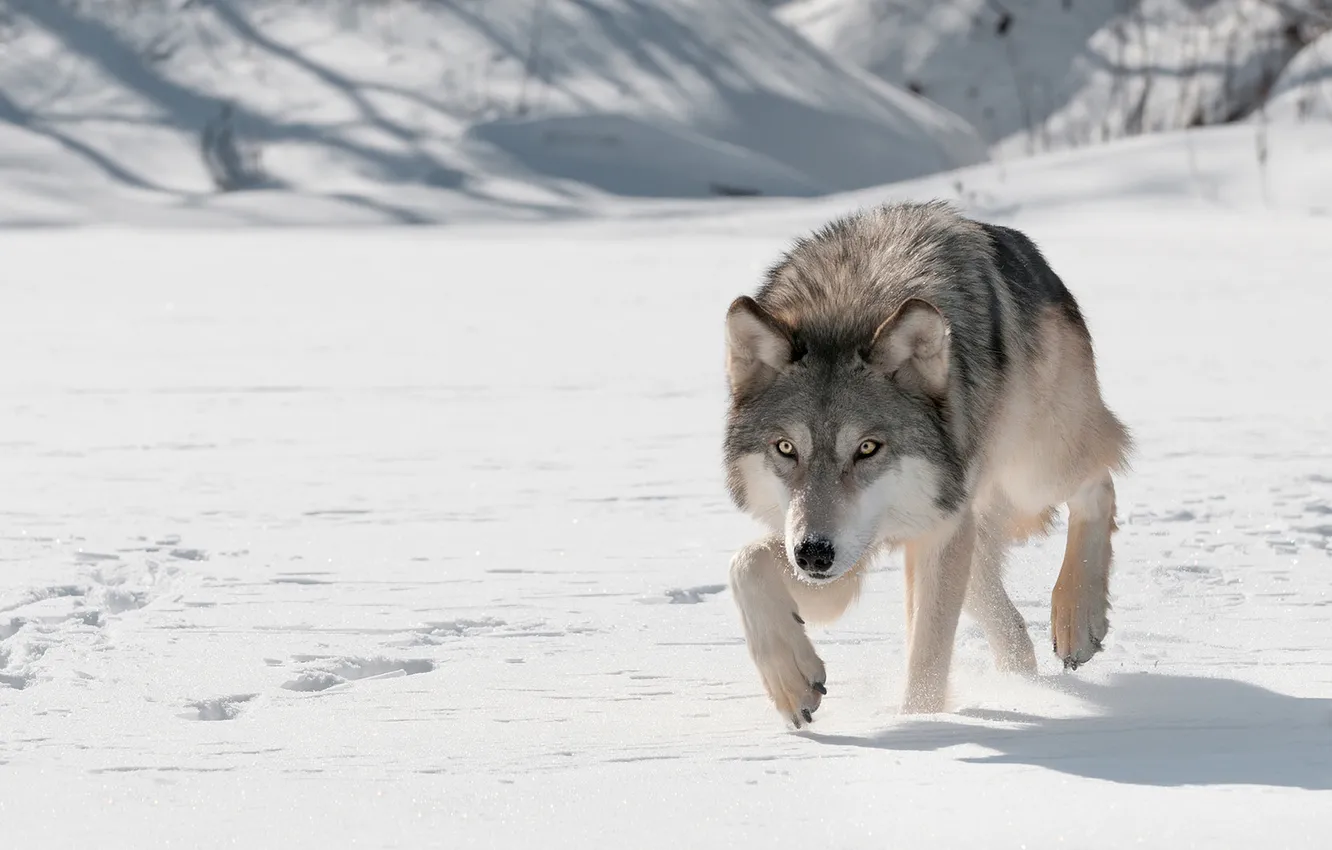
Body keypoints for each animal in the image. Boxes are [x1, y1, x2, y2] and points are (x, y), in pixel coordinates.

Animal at [722, 201, 1130, 726]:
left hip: (1032, 472)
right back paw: (1022, 679)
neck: (849, 306)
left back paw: (1076, 621)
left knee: (1100, 482)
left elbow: (928, 656)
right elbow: (746, 564)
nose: (813, 554)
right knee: (1001, 612)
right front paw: (791, 683)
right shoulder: (842, 556)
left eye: (868, 448)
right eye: (786, 448)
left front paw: (920, 725)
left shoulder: (929, 531)